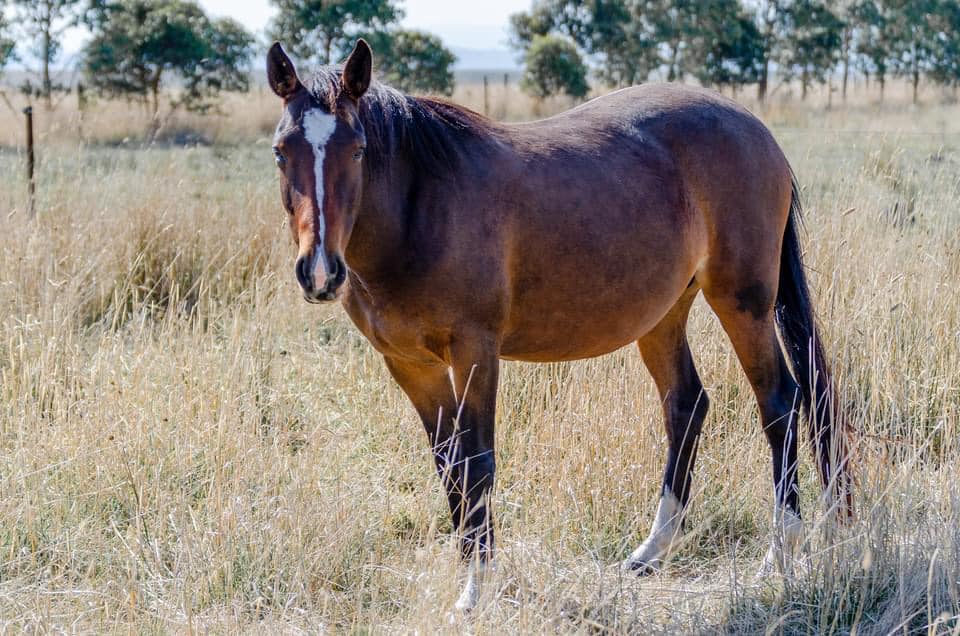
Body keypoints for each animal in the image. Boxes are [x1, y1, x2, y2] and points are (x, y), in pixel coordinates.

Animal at [265, 39, 852, 611]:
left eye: (358, 149)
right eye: (280, 151)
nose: (320, 270)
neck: (420, 207)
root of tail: (754, 129)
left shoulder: (474, 353)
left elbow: (477, 463)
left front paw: (476, 590)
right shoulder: (410, 365)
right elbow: (449, 466)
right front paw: (469, 574)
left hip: (742, 302)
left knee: (780, 403)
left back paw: (778, 554)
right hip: (664, 314)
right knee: (686, 406)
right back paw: (650, 552)